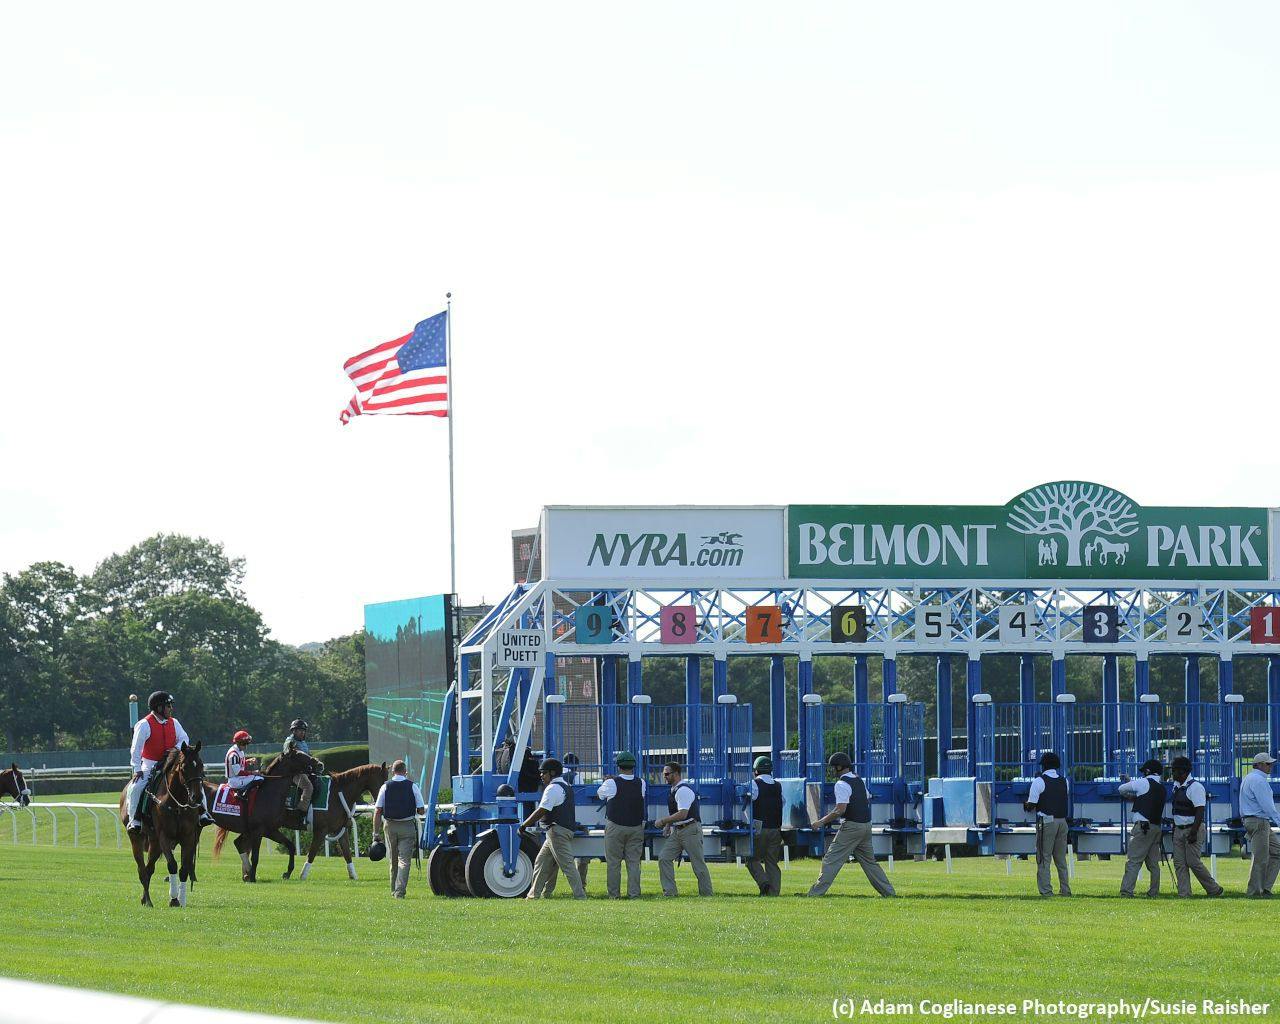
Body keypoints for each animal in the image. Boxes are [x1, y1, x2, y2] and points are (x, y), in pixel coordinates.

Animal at [117, 742, 207, 906]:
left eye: (201, 765)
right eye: (184, 767)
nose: (196, 797)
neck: (177, 804)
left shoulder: (188, 837)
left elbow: (184, 868)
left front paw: (181, 899)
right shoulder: (164, 836)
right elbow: (172, 864)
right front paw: (174, 899)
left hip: (154, 843)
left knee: (149, 868)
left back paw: (145, 898)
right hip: (137, 838)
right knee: (142, 869)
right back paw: (148, 901)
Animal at [208, 742, 320, 880]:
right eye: (299, 755)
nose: (320, 764)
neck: (269, 793)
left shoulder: (270, 830)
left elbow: (290, 845)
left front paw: (287, 872)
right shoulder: (258, 830)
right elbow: (255, 857)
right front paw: (252, 876)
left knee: (238, 843)